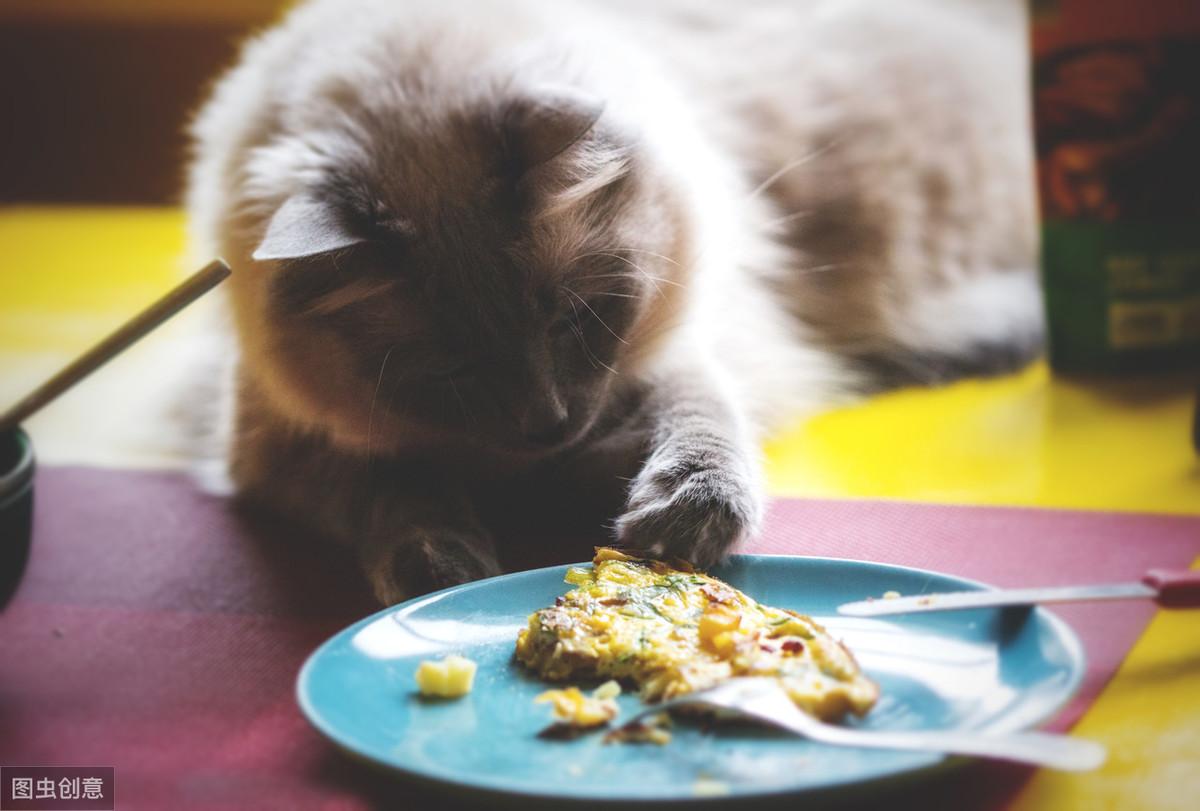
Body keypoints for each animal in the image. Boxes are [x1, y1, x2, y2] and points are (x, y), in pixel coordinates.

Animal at [187, 0, 1041, 604]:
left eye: (573, 319)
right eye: (450, 371)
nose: (547, 424)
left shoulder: (676, 353)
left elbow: (701, 428)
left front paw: (670, 516)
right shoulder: (277, 443)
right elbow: (396, 489)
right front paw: (446, 565)